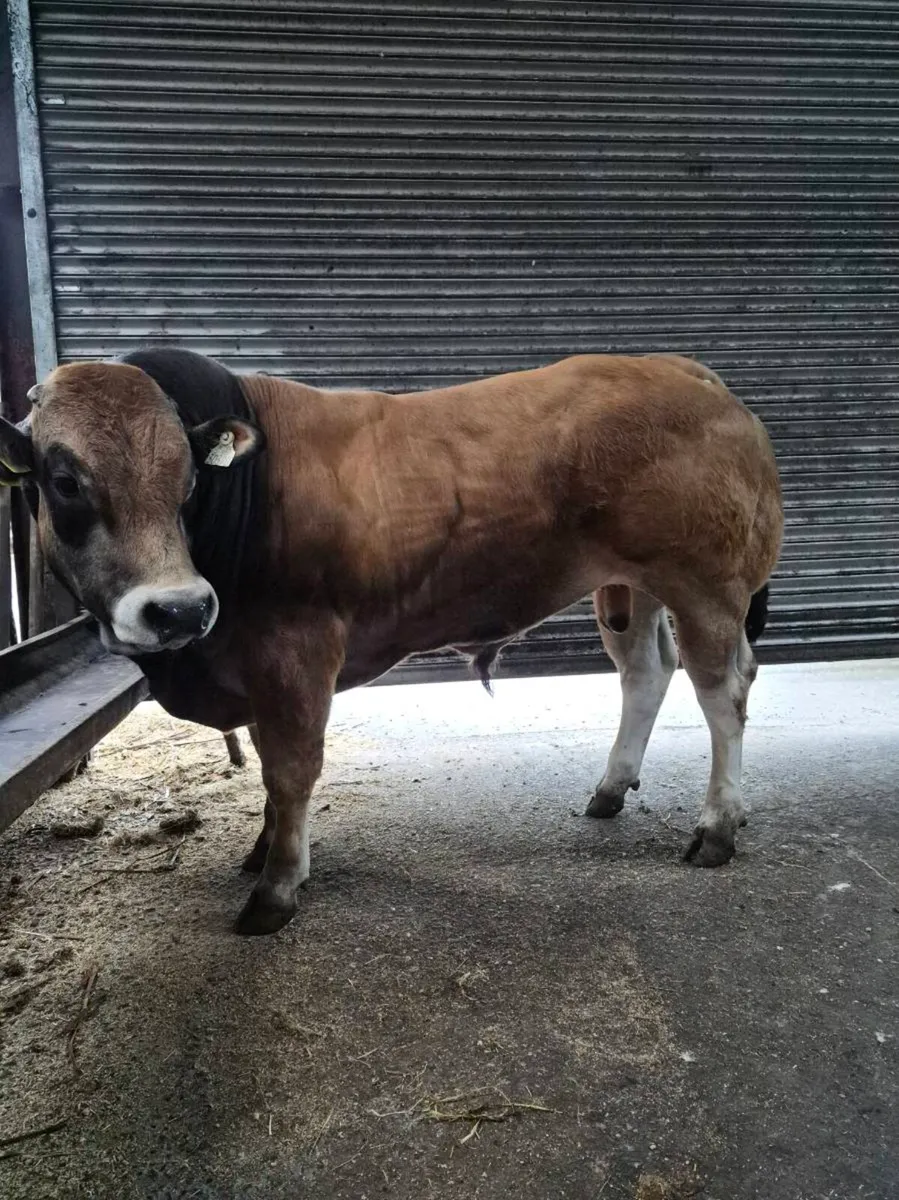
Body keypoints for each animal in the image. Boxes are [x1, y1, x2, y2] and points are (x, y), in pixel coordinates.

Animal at [0, 349, 783, 935]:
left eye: (187, 479)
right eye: (64, 480)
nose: (178, 610)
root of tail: (686, 370)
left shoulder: (296, 653)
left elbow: (290, 771)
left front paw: (276, 888)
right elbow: (271, 772)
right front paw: (262, 850)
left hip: (705, 585)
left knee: (722, 691)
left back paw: (717, 828)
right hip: (630, 587)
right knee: (644, 673)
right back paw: (610, 789)